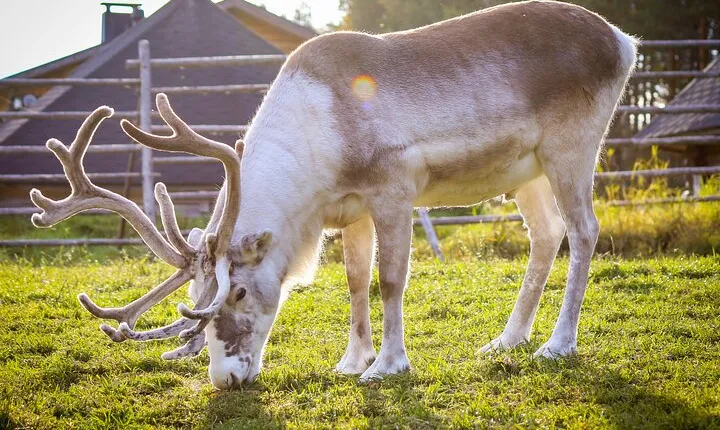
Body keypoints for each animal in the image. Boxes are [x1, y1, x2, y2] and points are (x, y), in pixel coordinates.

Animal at [30, 0, 637, 389]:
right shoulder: (351, 210)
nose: (226, 380)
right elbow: (354, 282)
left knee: (584, 231)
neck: (318, 144)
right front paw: (351, 361)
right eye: (198, 298)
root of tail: (624, 41)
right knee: (546, 236)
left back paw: (557, 344)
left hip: (572, 147)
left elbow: (390, 280)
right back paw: (506, 341)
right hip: (527, 171)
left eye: (239, 291)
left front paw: (387, 366)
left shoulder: (394, 190)